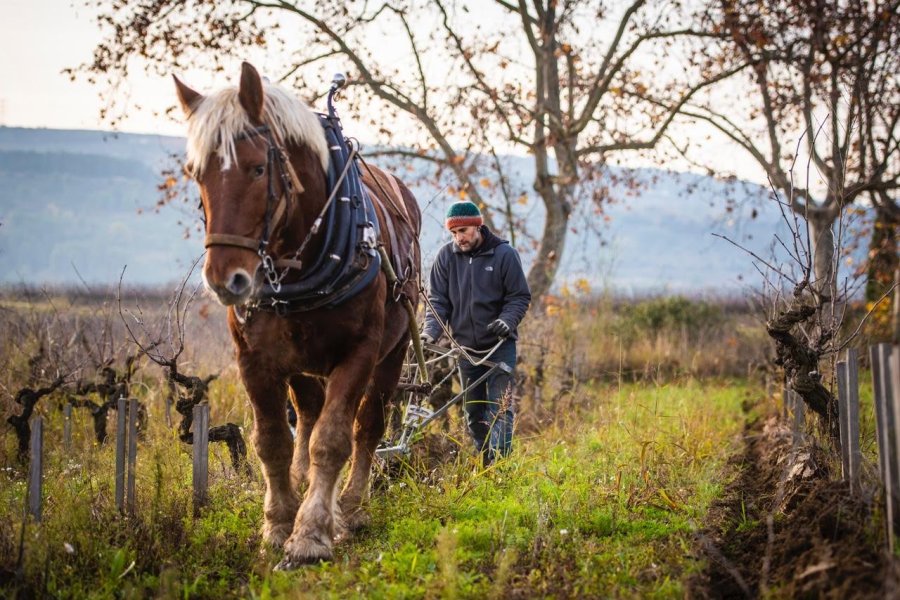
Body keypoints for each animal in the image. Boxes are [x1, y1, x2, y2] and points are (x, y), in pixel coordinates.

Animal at [175, 63, 422, 568]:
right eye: (196, 173)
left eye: (257, 168)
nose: (225, 279)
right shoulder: (254, 358)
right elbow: (272, 439)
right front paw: (278, 522)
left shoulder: (359, 352)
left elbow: (334, 438)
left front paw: (311, 533)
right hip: (301, 361)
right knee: (306, 414)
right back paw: (305, 482)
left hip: (394, 350)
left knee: (368, 424)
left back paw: (352, 507)